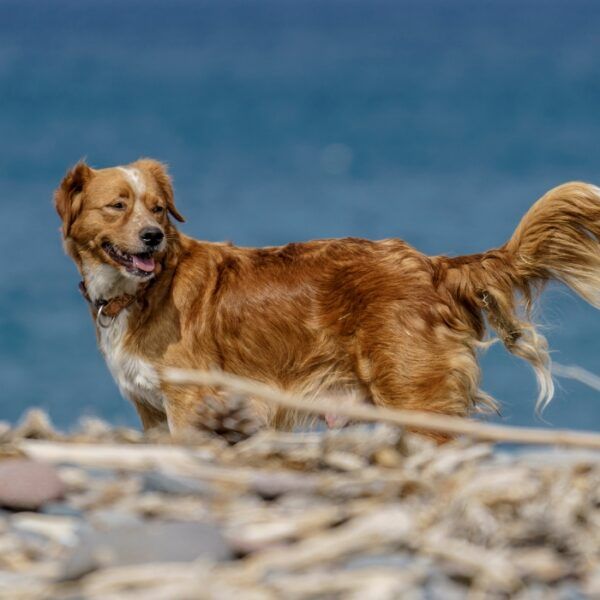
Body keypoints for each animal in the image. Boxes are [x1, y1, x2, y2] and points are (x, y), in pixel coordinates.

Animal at [54, 158, 600, 440]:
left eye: (158, 209)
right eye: (117, 206)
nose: (152, 238)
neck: (142, 292)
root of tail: (433, 265)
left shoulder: (190, 403)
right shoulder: (152, 414)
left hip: (415, 399)